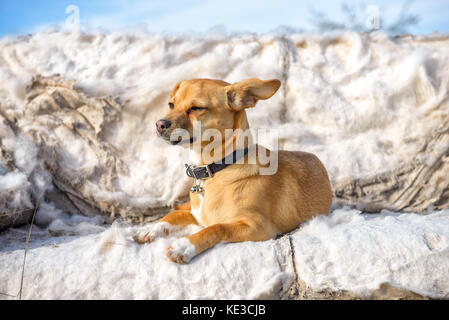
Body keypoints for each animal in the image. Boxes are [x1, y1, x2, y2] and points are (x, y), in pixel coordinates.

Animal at [131, 79, 330, 264]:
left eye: (197, 108)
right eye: (171, 104)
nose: (159, 124)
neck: (214, 170)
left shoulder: (258, 226)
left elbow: (217, 227)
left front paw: (184, 245)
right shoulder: (196, 214)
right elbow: (175, 213)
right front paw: (152, 228)